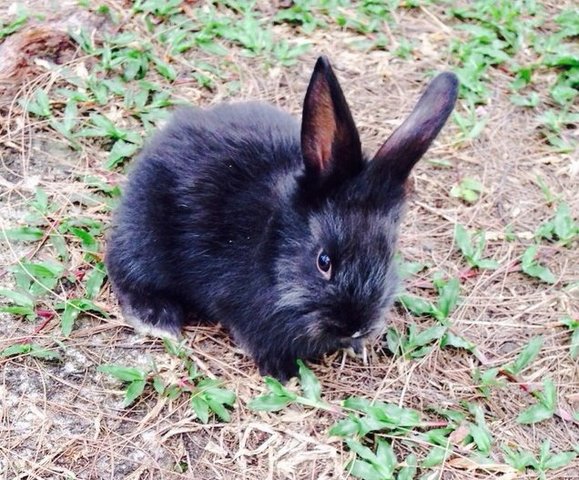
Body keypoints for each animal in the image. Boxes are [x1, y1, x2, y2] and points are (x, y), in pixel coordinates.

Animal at [104, 55, 458, 378]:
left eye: (388, 256)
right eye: (323, 261)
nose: (354, 328)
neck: (273, 247)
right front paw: (284, 372)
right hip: (146, 240)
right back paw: (157, 319)